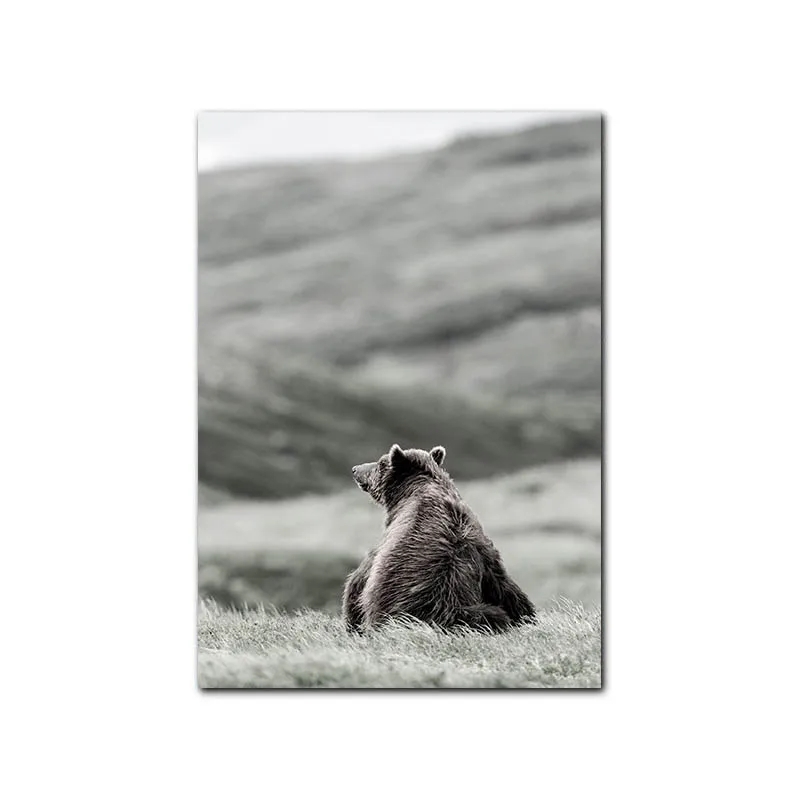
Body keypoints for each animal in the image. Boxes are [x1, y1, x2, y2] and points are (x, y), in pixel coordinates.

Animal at [343, 444, 536, 633]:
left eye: (382, 463)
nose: (355, 469)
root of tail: (446, 607)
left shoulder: (388, 541)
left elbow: (359, 579)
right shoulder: (483, 547)